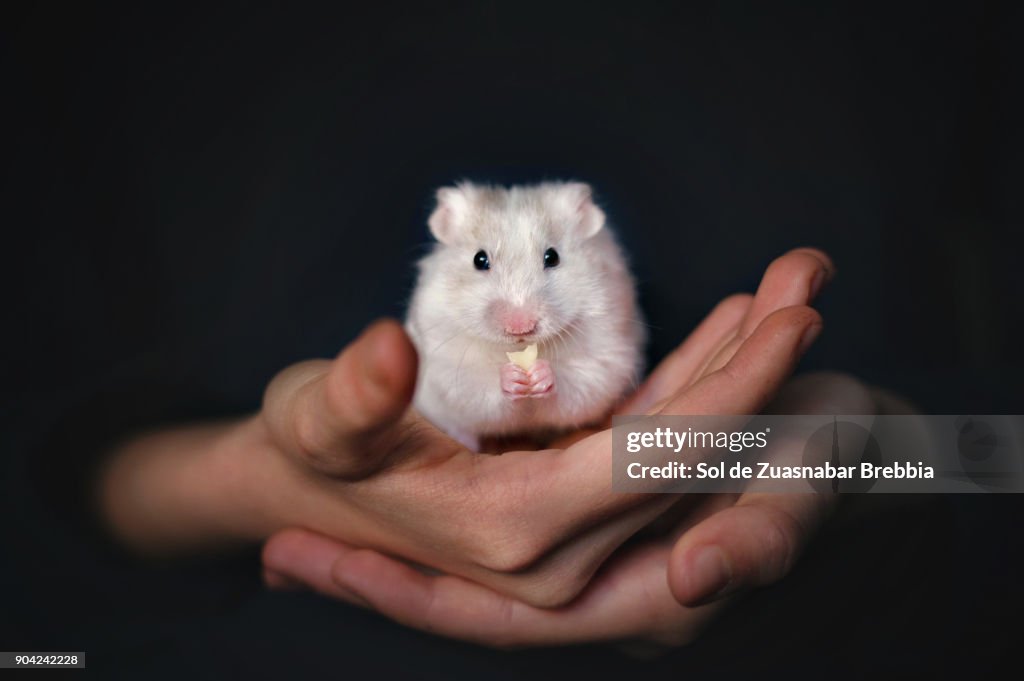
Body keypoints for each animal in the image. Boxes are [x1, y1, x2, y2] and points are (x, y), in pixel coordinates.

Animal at [403, 180, 643, 448]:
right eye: (479, 259)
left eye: (552, 256)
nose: (521, 328)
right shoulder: (448, 367)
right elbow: (479, 386)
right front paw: (511, 378)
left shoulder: (605, 357)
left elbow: (576, 384)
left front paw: (541, 374)